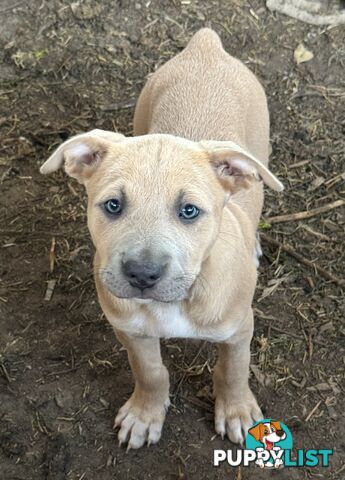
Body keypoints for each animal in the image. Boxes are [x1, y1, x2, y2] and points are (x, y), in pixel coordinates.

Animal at [40, 28, 282, 450]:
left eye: (189, 211)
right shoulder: (131, 331)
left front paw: (237, 410)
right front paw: (145, 414)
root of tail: (206, 45)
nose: (142, 274)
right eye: (113, 205)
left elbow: (234, 370)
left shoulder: (239, 329)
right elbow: (151, 372)